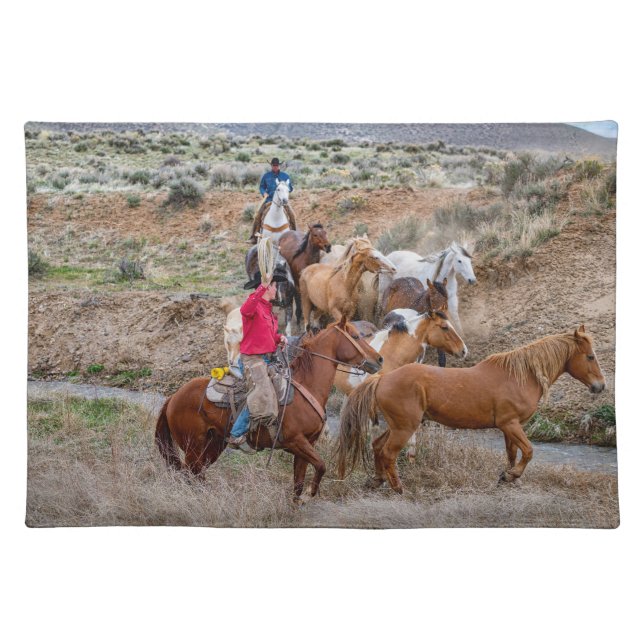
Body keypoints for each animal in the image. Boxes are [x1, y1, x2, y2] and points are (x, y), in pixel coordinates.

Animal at [155, 318, 383, 503]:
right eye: (355, 336)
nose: (379, 359)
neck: (307, 386)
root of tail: (173, 397)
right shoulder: (296, 442)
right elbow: (321, 466)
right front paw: (309, 495)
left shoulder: (306, 446)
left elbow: (298, 482)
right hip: (193, 446)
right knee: (189, 474)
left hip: (213, 445)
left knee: (197, 474)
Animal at [335, 325, 606, 493]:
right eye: (590, 357)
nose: (600, 386)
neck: (519, 376)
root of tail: (382, 378)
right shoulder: (511, 424)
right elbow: (528, 452)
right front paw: (512, 476)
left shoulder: (509, 427)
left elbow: (512, 454)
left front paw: (507, 477)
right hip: (404, 428)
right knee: (388, 453)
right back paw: (398, 488)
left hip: (398, 426)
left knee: (377, 447)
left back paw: (377, 481)